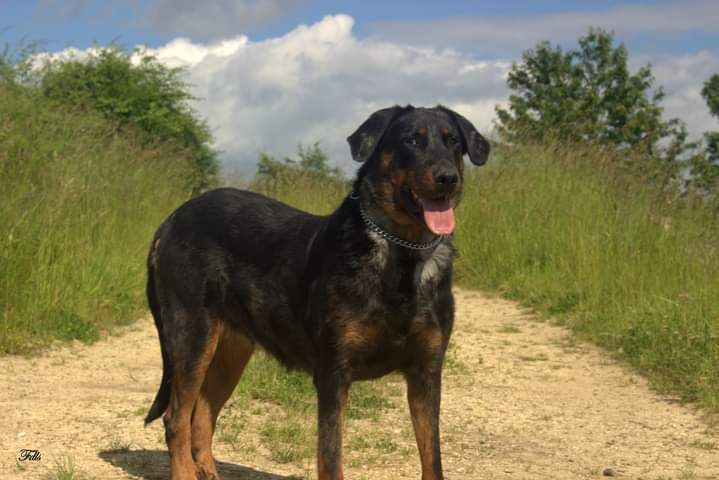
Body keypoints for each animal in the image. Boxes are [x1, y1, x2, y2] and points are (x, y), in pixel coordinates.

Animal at [143, 106, 492, 480]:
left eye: (453, 141)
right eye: (413, 139)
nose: (447, 178)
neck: (401, 253)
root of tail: (170, 221)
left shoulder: (426, 372)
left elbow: (432, 458)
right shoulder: (333, 373)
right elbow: (331, 456)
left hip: (231, 351)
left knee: (202, 416)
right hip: (192, 338)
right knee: (176, 418)